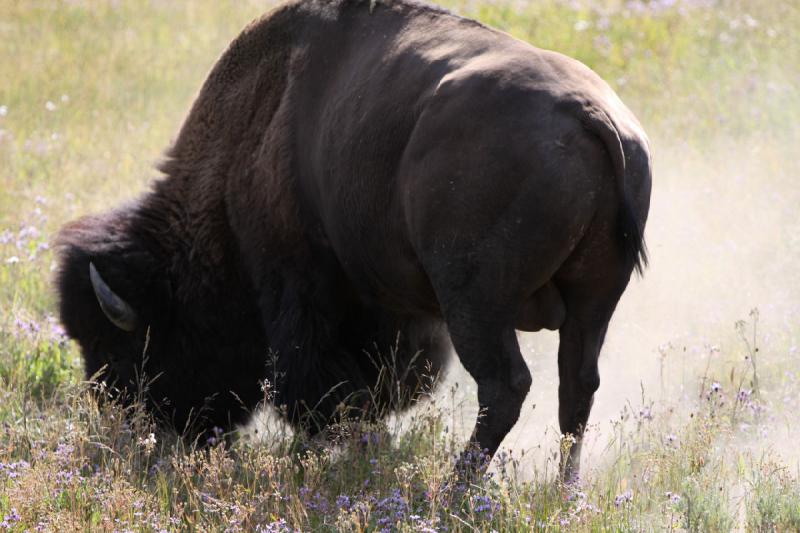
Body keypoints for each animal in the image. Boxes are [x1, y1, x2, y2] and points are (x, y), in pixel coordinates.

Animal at [61, 0, 648, 478]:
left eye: (123, 346)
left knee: (506, 386)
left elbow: (315, 378)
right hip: (594, 300)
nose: (145, 424)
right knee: (577, 386)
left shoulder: (296, 285)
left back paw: (456, 487)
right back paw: (563, 489)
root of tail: (594, 116)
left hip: (477, 302)